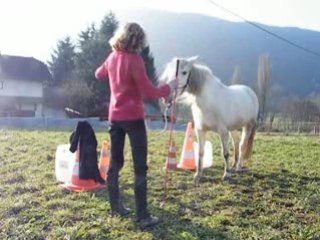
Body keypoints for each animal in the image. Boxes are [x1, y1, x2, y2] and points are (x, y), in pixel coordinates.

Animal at [161, 57, 258, 185]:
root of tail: (250, 92)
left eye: (184, 72)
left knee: (242, 145)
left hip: (248, 126)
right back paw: (233, 165)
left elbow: (225, 153)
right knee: (236, 143)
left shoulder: (223, 131)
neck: (208, 101)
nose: (167, 97)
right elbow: (200, 153)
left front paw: (226, 175)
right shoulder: (200, 130)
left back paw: (238, 167)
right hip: (233, 128)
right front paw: (198, 175)